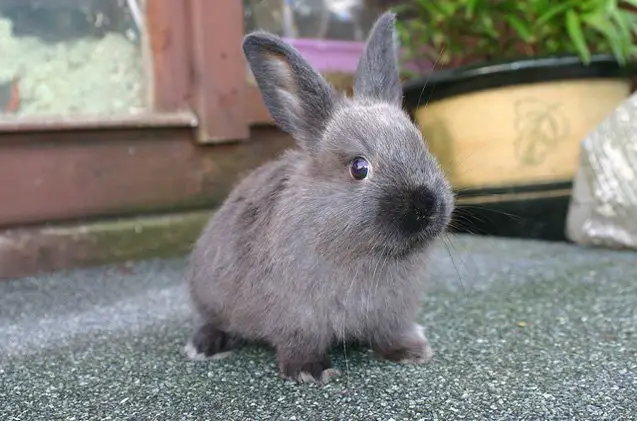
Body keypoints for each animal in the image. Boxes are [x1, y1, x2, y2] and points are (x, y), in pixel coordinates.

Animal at [181, 11, 454, 382]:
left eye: (421, 146)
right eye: (359, 168)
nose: (427, 206)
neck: (365, 252)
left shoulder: (393, 315)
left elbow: (391, 334)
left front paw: (412, 352)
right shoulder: (297, 317)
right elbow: (300, 343)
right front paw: (311, 372)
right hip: (209, 294)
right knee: (211, 320)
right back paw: (205, 346)